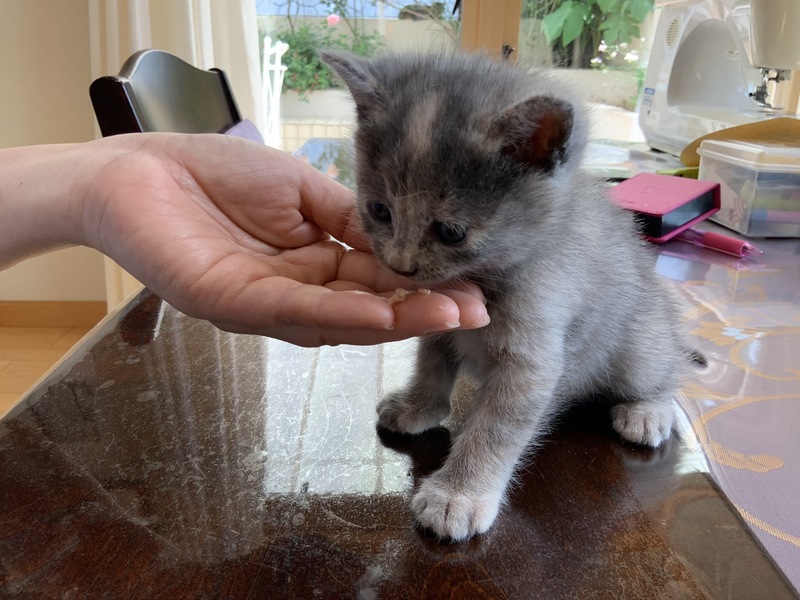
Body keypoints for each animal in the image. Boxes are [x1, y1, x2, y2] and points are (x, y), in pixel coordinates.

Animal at [322, 50, 697, 541]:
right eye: (380, 210)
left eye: (451, 231)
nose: (401, 266)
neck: (487, 276)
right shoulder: (443, 322)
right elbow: (431, 365)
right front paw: (419, 405)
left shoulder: (532, 358)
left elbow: (495, 429)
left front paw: (458, 496)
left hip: (642, 341)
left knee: (665, 370)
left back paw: (648, 411)